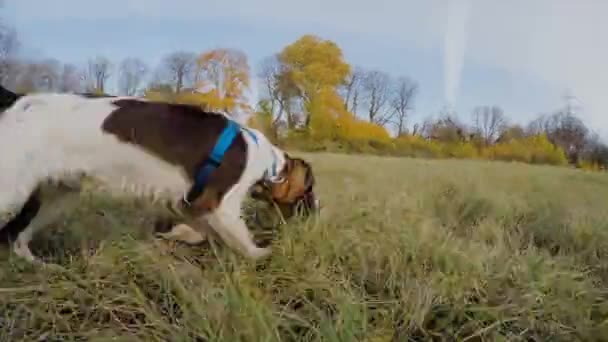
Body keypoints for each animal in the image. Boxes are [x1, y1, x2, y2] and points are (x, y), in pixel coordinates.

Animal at [0, 85, 320, 262]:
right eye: (309, 189)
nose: (316, 211)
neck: (267, 162)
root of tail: (18, 101)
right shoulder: (221, 207)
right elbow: (245, 242)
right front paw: (264, 255)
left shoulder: (193, 206)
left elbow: (203, 233)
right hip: (11, 191)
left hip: (61, 196)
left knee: (19, 238)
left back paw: (36, 263)